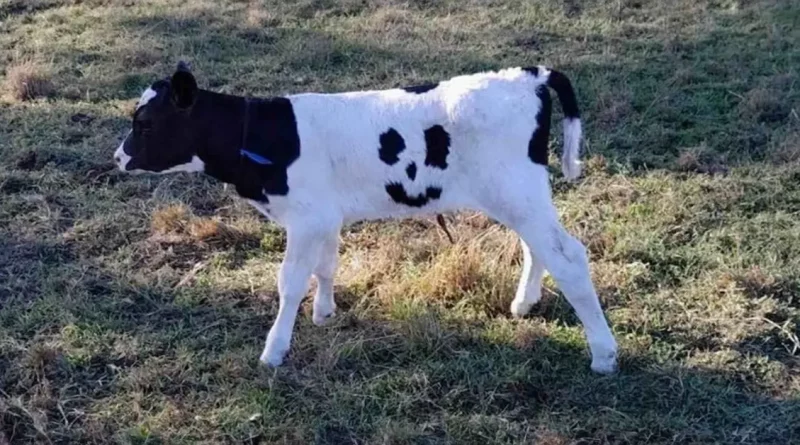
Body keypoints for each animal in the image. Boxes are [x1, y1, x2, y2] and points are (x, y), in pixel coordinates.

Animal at [112, 62, 620, 372]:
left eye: (145, 124)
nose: (118, 157)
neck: (263, 135)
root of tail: (527, 75)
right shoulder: (324, 216)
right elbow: (326, 265)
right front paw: (324, 312)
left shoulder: (306, 218)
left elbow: (289, 283)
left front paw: (274, 350)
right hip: (520, 196)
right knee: (541, 248)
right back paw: (524, 304)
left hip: (516, 192)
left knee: (569, 256)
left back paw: (603, 353)